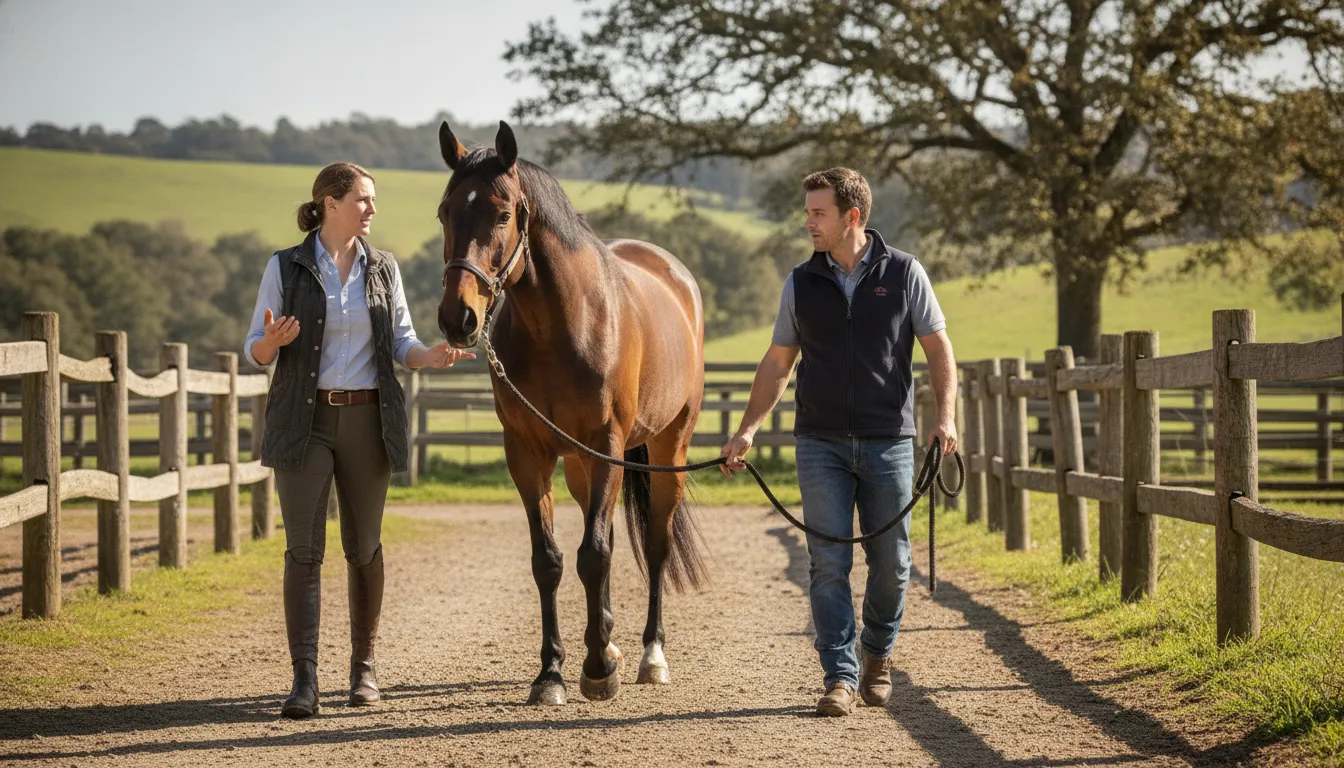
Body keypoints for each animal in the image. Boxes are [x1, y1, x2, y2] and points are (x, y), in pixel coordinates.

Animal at [434, 119, 708, 706]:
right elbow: (552, 560)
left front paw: (598, 671)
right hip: (582, 465)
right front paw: (553, 672)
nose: (457, 318)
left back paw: (650, 655)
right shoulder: (528, 453)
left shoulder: (606, 446)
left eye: (502, 214)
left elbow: (594, 554)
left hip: (667, 448)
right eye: (445, 212)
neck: (561, 325)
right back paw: (606, 641)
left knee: (654, 546)